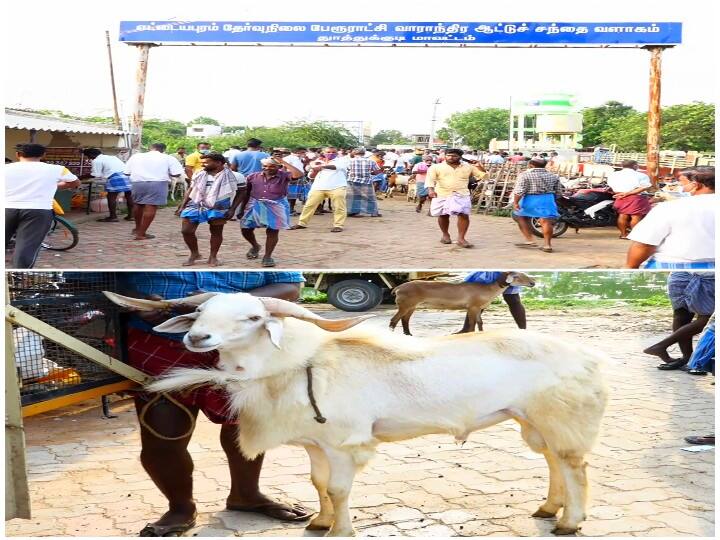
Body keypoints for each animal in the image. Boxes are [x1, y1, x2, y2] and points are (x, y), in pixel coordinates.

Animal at [104, 292, 604, 536]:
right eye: (201, 313)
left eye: (252, 318)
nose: (197, 339)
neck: (301, 364)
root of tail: (590, 357)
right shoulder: (315, 443)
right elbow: (318, 484)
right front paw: (318, 522)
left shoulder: (345, 443)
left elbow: (340, 489)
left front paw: (339, 530)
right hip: (534, 420)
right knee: (554, 461)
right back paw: (549, 508)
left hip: (561, 418)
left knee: (575, 467)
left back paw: (569, 522)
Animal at [390, 272, 536, 336]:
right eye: (517, 276)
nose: (533, 283)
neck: (488, 290)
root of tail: (398, 288)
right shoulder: (472, 307)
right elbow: (471, 324)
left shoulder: (478, 308)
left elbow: (480, 323)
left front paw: (481, 333)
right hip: (405, 304)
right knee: (394, 320)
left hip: (411, 306)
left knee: (404, 320)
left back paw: (408, 334)